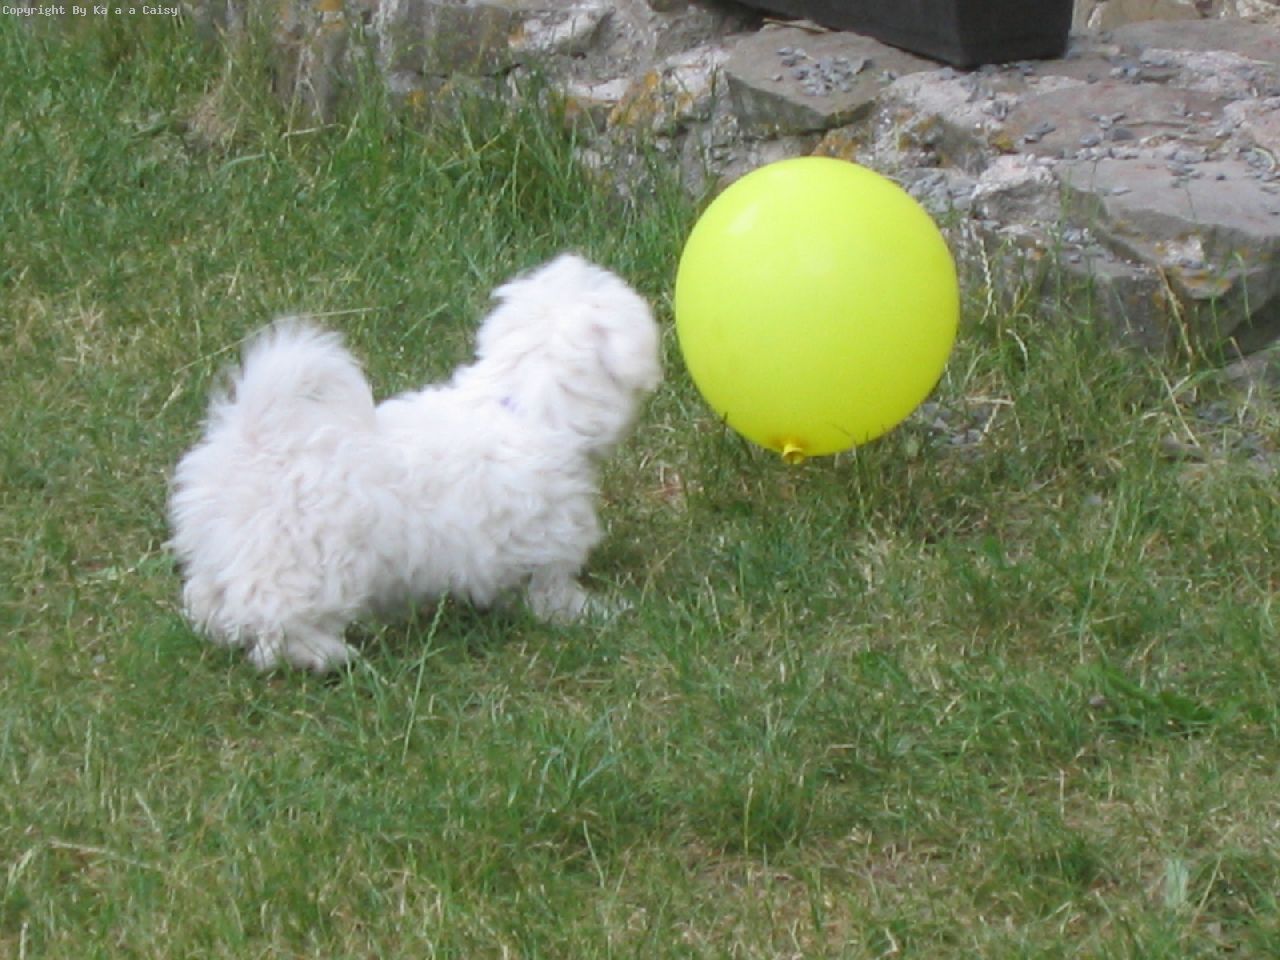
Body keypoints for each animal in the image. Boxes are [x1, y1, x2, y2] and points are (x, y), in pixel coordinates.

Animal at [168, 254, 661, 672]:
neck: (520, 402)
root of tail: (254, 439)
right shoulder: (547, 541)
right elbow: (552, 592)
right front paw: (596, 612)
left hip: (221, 544)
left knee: (207, 594)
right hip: (303, 563)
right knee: (277, 620)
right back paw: (326, 654)